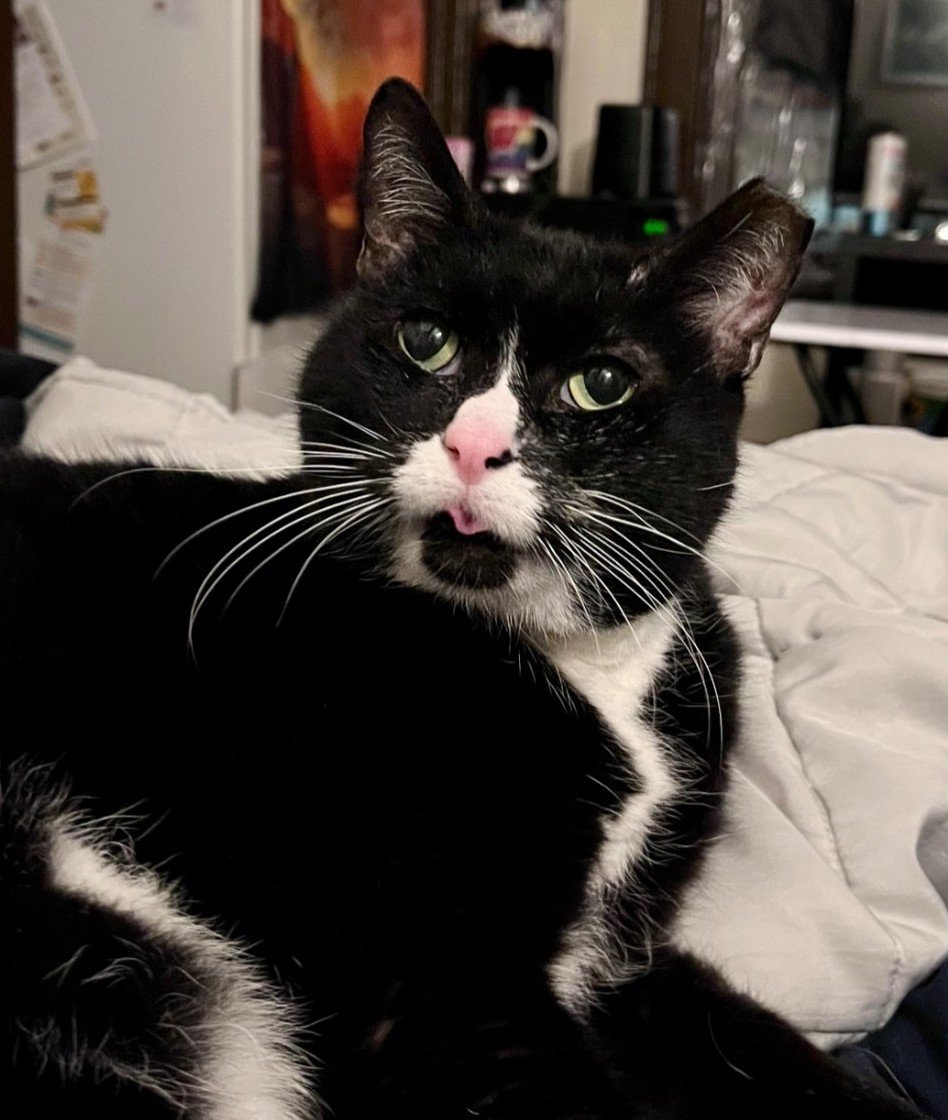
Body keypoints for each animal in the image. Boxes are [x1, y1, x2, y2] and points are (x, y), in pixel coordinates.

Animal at [0, 79, 924, 1119]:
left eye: (602, 384)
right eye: (425, 340)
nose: (474, 446)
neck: (574, 660)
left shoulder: (628, 961)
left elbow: (755, 1044)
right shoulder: (430, 983)